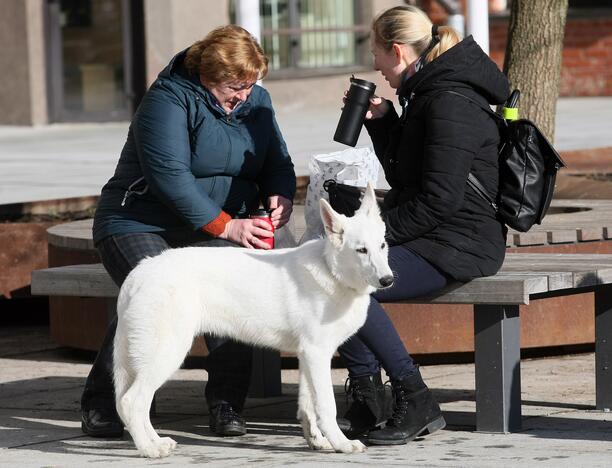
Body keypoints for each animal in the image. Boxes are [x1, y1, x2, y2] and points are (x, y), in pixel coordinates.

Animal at [112, 183, 394, 458]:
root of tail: (139, 272)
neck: (330, 270)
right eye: (361, 250)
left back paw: (156, 441)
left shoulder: (307, 356)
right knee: (130, 402)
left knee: (132, 404)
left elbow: (308, 406)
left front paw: (318, 441)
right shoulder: (317, 353)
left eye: (382, 246)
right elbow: (326, 406)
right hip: (167, 354)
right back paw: (149, 449)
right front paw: (341, 444)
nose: (388, 280)